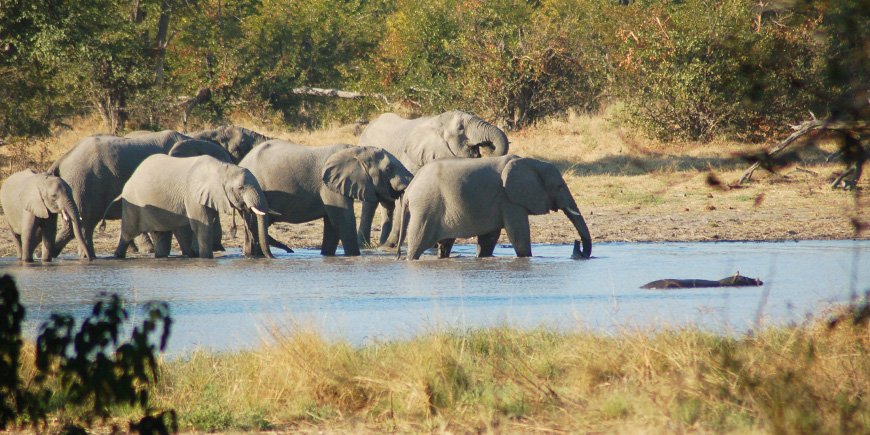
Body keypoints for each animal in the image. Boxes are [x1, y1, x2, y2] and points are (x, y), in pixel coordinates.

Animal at [112, 154, 274, 258]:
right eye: (241, 188)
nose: (271, 258)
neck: (222, 168)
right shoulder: (193, 195)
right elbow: (203, 225)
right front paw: (206, 258)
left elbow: (203, 224)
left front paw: (197, 255)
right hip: (133, 203)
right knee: (128, 232)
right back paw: (118, 256)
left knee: (162, 234)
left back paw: (163, 256)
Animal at [238, 140, 416, 258]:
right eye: (389, 168)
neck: (356, 150)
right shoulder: (329, 186)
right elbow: (343, 220)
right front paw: (354, 257)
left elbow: (332, 224)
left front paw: (327, 256)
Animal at [356, 110, 508, 249]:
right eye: (461, 128)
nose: (488, 146)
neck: (437, 121)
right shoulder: (410, 160)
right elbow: (404, 196)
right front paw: (390, 246)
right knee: (370, 203)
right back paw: (368, 245)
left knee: (387, 205)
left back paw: (380, 244)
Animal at [396, 155, 592, 260]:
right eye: (559, 187)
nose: (578, 247)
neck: (532, 162)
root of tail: (410, 190)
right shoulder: (509, 199)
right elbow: (518, 233)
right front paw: (526, 258)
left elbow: (489, 238)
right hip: (425, 207)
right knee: (418, 242)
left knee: (445, 244)